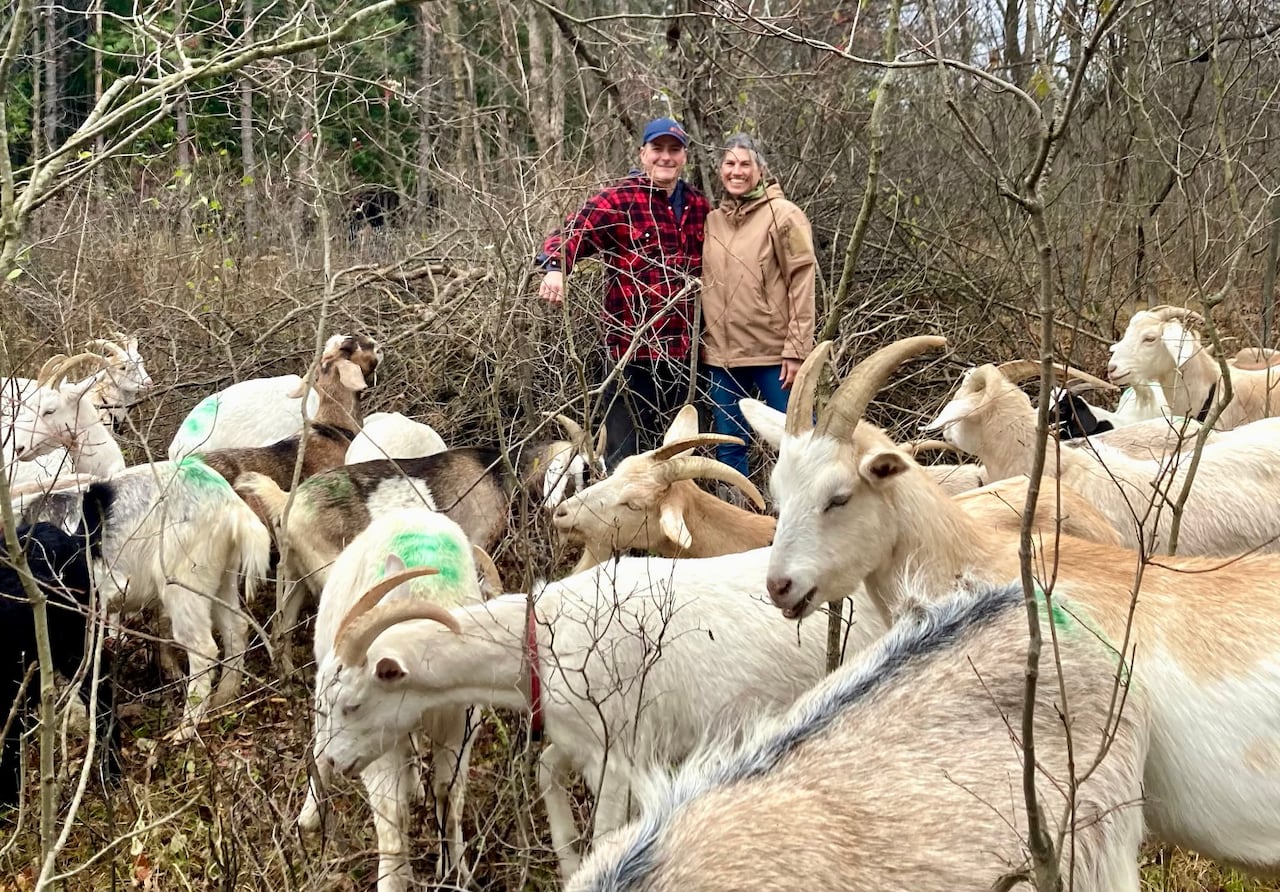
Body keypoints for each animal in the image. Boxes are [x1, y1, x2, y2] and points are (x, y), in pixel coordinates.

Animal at [302, 508, 486, 892]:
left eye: (354, 705)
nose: (339, 763)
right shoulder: (374, 748)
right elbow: (392, 815)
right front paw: (394, 880)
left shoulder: (460, 727)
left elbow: (448, 796)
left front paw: (455, 871)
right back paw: (309, 815)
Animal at [311, 544, 889, 882]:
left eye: (352, 703)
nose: (332, 763)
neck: (545, 636)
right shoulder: (580, 737)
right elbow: (547, 773)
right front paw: (567, 861)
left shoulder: (618, 755)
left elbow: (609, 832)